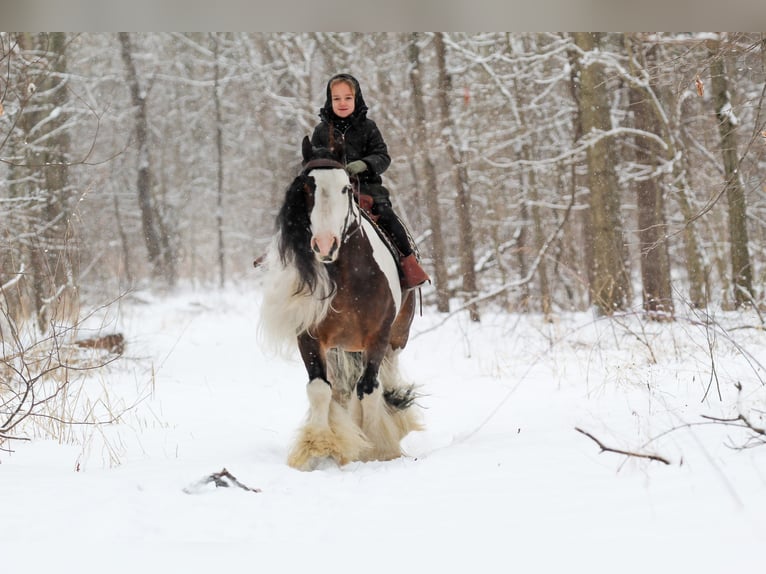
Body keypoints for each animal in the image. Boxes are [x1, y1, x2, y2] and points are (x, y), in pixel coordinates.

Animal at [258, 136, 422, 470]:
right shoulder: (310, 337)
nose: (325, 244)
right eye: (306, 189)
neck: (350, 274)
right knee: (342, 390)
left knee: (386, 379)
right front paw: (320, 446)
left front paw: (377, 450)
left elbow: (369, 390)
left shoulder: (377, 337)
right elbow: (321, 389)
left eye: (346, 187)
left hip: (397, 337)